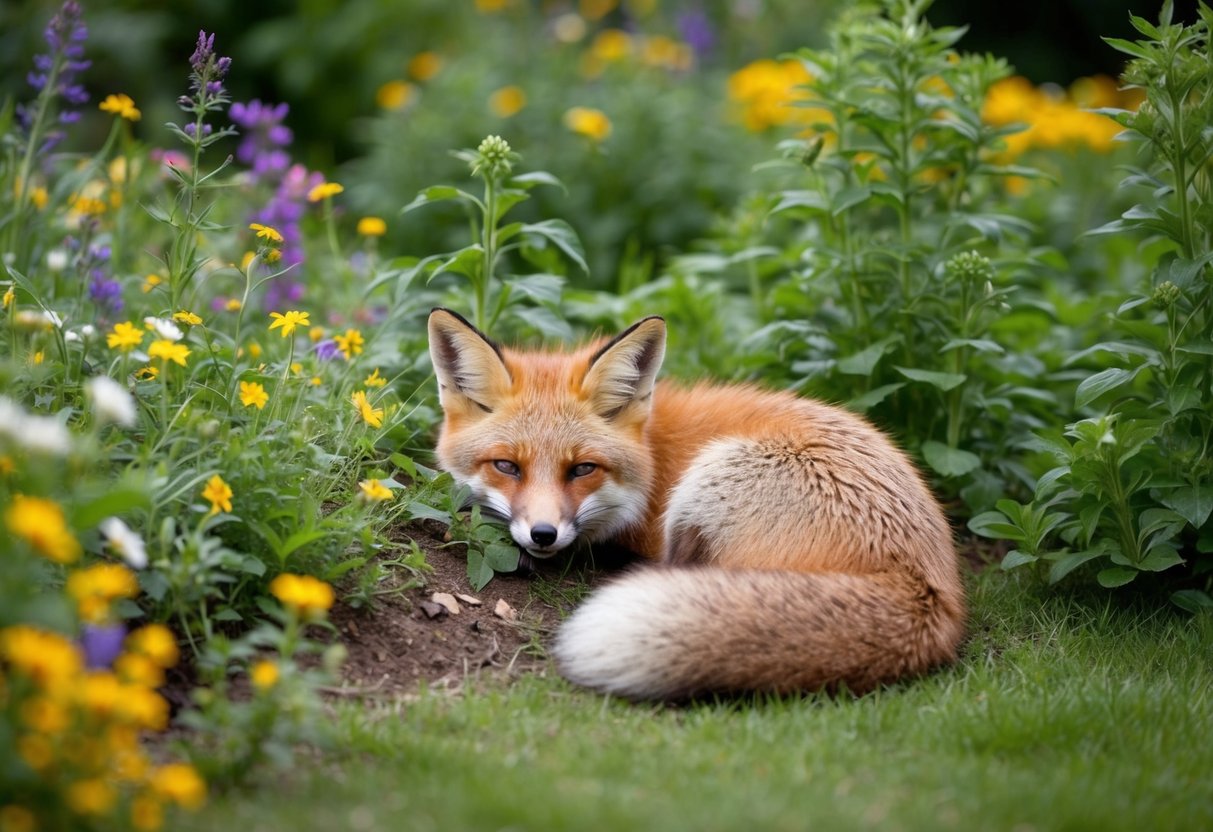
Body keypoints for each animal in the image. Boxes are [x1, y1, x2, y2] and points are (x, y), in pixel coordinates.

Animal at [427, 307, 966, 699]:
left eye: (582, 469)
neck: (655, 456)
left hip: (710, 478)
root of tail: (926, 588)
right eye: (507, 466)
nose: (543, 535)